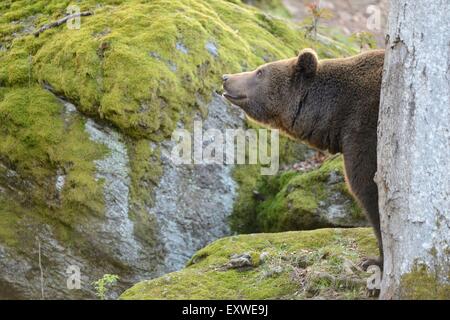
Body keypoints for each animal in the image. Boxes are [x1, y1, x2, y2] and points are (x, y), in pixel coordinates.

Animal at [223, 48, 384, 268]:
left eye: (260, 72)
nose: (226, 78)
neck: (336, 112)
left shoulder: (364, 131)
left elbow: (368, 188)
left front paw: (376, 260)